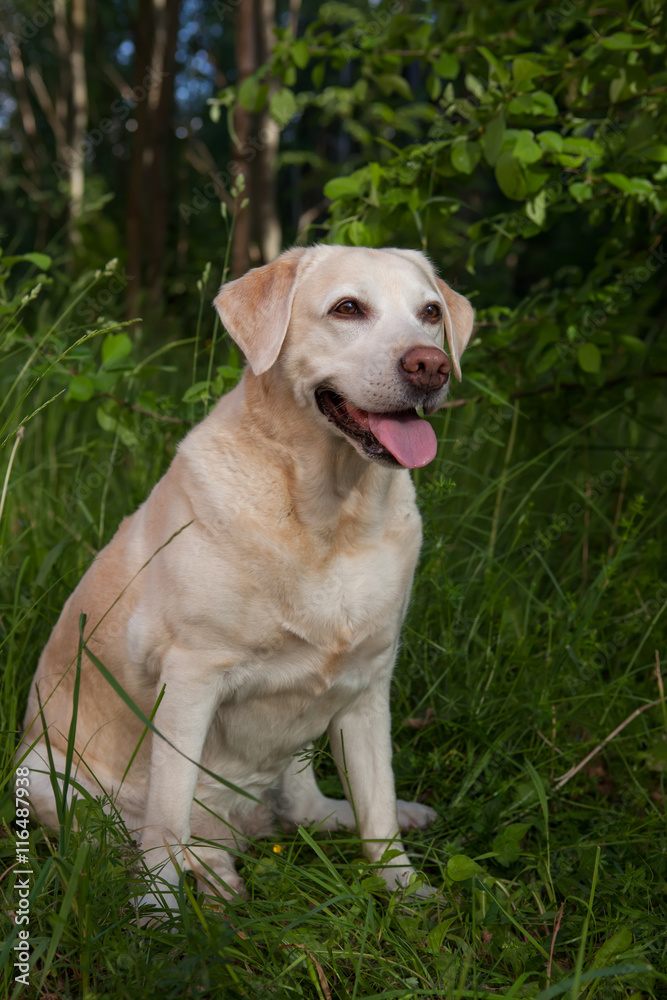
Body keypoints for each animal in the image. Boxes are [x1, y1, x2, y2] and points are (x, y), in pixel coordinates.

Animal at [17, 246, 474, 912]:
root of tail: (239, 827)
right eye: (347, 308)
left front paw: (405, 890)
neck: (329, 518)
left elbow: (378, 807)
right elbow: (168, 815)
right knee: (136, 832)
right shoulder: (189, 678)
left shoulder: (367, 686)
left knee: (306, 808)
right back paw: (209, 870)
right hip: (39, 776)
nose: (431, 366)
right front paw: (158, 911)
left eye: (431, 313)